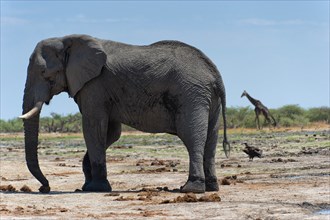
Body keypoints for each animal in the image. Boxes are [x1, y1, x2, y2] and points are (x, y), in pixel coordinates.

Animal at [20, 33, 231, 193]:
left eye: (44, 73)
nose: (45, 188)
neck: (67, 39)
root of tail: (216, 75)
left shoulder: (94, 85)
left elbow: (93, 128)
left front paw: (96, 188)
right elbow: (112, 133)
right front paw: (87, 186)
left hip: (191, 95)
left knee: (192, 137)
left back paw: (191, 189)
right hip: (208, 99)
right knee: (210, 140)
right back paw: (212, 187)